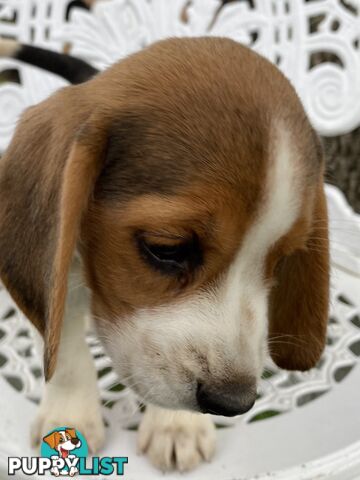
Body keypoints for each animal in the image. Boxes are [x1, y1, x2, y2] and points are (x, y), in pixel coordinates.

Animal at [0, 35, 330, 470]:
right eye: (166, 249)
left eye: (279, 260)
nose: (233, 402)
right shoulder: (61, 277)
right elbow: (67, 346)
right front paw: (68, 415)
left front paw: (177, 426)